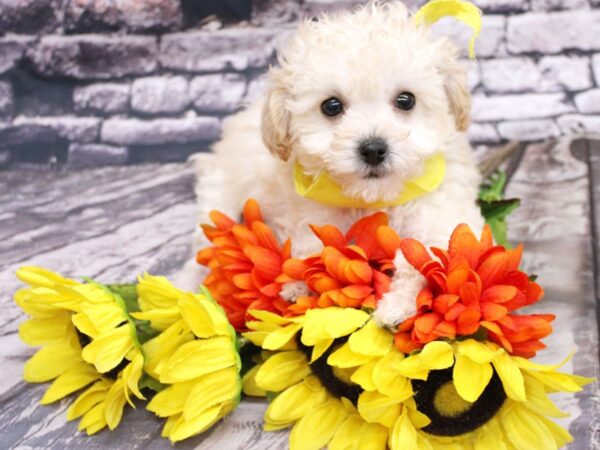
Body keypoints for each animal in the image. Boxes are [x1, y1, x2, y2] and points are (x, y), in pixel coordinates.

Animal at [182, 1, 482, 328]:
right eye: (332, 106)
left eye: (406, 100)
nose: (373, 149)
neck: (371, 199)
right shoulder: (306, 217)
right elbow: (313, 251)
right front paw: (297, 287)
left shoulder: (444, 212)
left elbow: (424, 254)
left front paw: (397, 306)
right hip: (219, 195)